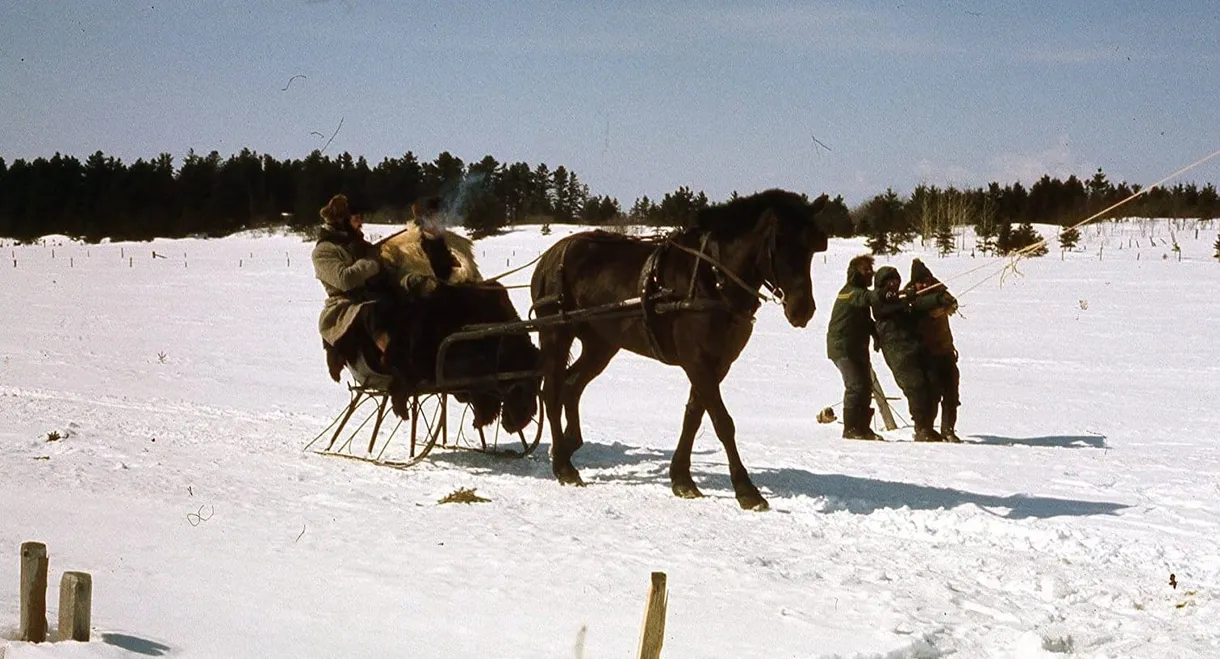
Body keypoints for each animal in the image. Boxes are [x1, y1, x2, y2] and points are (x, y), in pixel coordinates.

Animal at [531, 187, 829, 512]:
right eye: (780, 243)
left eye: (812, 249)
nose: (803, 310)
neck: (712, 278)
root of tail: (550, 256)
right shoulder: (696, 359)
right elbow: (723, 421)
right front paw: (746, 490)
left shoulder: (719, 362)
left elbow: (694, 416)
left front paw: (682, 479)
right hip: (555, 333)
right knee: (551, 392)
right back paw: (563, 465)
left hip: (601, 344)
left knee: (571, 387)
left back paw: (568, 447)